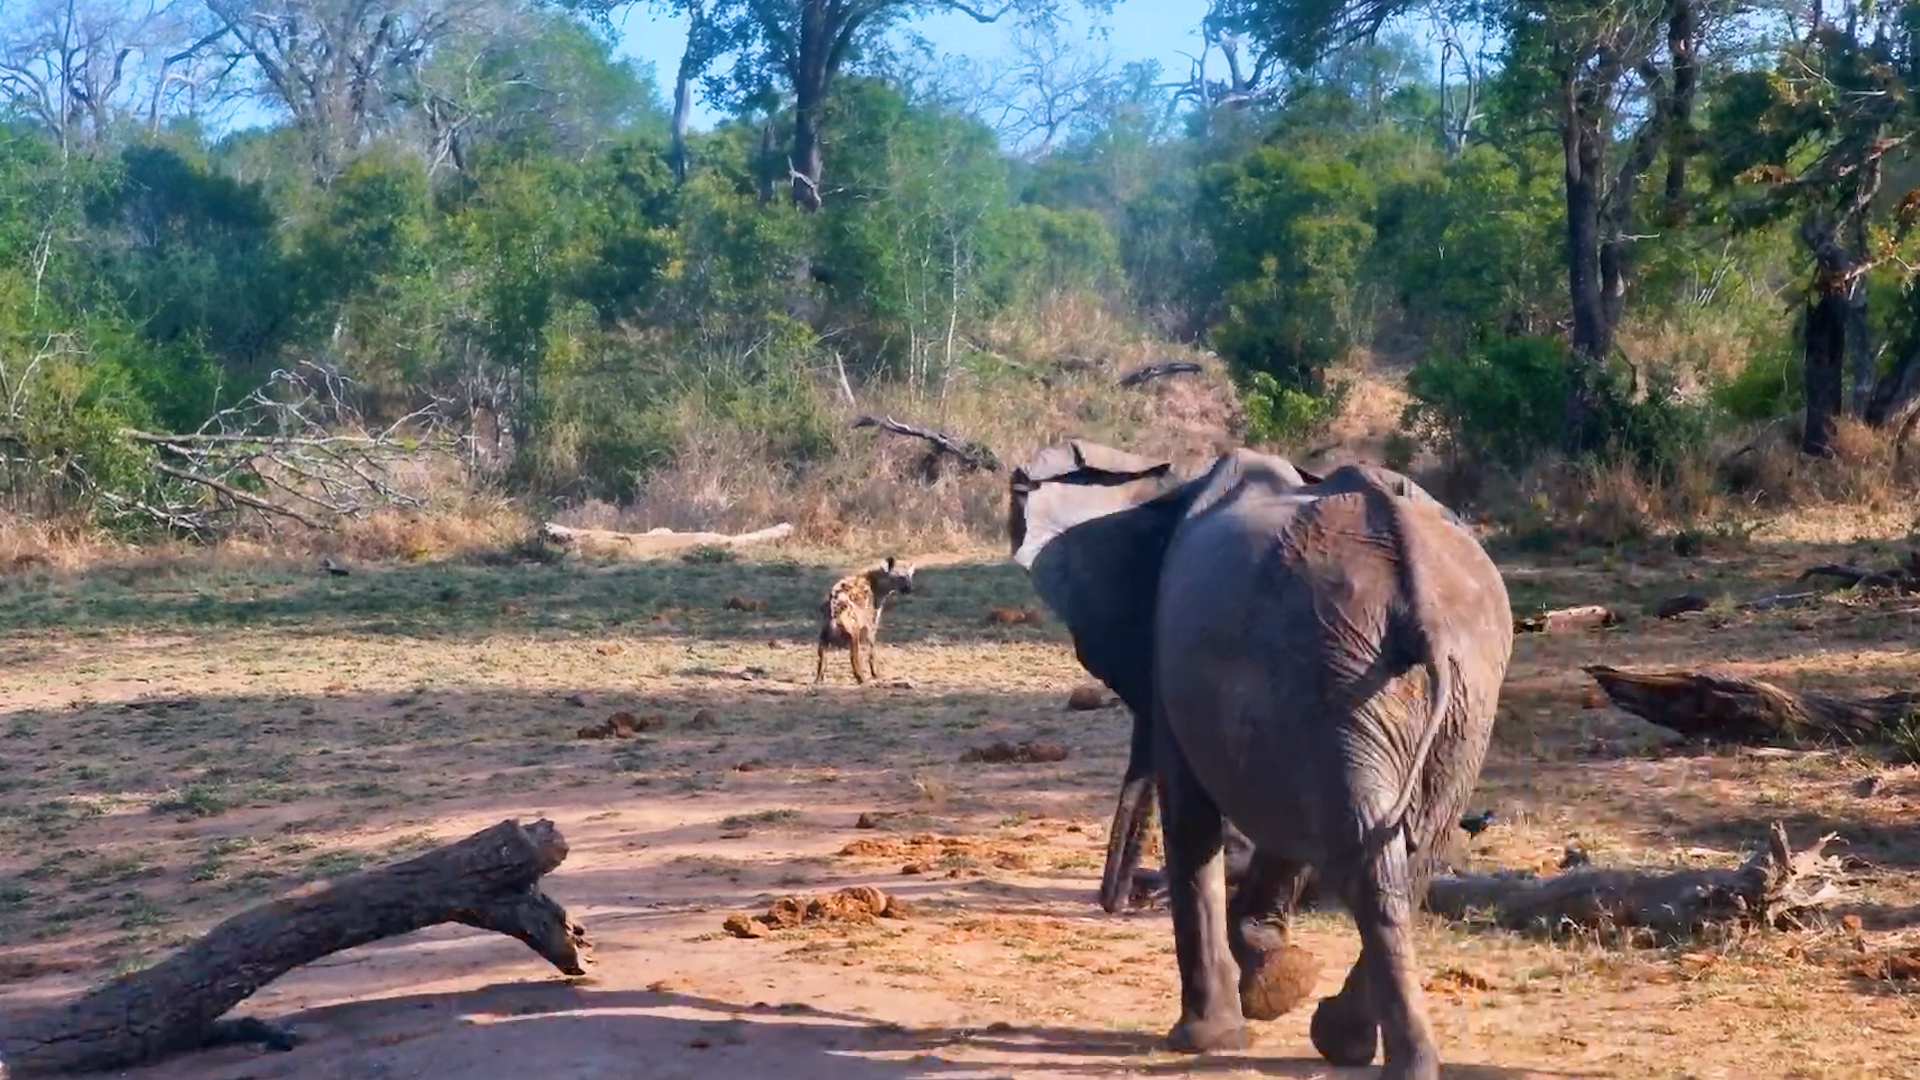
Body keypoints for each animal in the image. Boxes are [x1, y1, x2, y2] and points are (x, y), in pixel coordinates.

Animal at [1007, 440, 1512, 1079]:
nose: (1115, 902)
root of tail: (1416, 595)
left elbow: (1193, 818)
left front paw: (1207, 1037)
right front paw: (1272, 980)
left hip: (1343, 669)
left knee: (1365, 854)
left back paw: (1369, 1050)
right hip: (1449, 688)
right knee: (1405, 849)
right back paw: (1357, 1044)